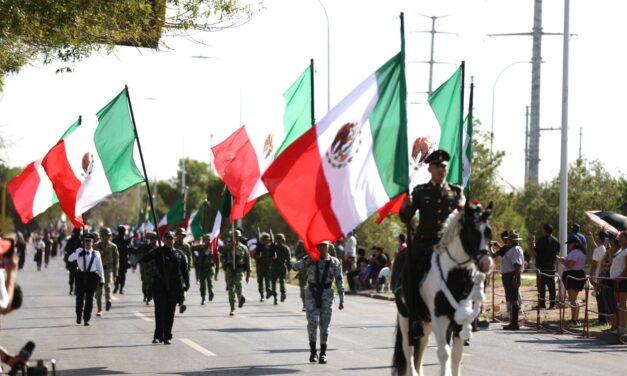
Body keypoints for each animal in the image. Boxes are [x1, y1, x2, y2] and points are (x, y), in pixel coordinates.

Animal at [390, 201, 494, 374]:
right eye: (471, 230)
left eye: (488, 231)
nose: (486, 263)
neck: (454, 275)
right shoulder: (439, 318)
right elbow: (444, 353)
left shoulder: (459, 319)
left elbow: (457, 355)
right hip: (405, 315)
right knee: (408, 347)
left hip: (426, 321)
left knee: (421, 346)